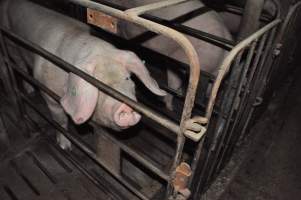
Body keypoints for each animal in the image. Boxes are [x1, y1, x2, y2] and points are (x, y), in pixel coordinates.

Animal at [0, 0, 165, 150]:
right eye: (99, 85)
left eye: (127, 78)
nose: (126, 106)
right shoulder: (48, 92)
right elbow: (60, 120)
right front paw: (65, 147)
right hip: (10, 43)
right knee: (19, 62)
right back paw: (30, 91)